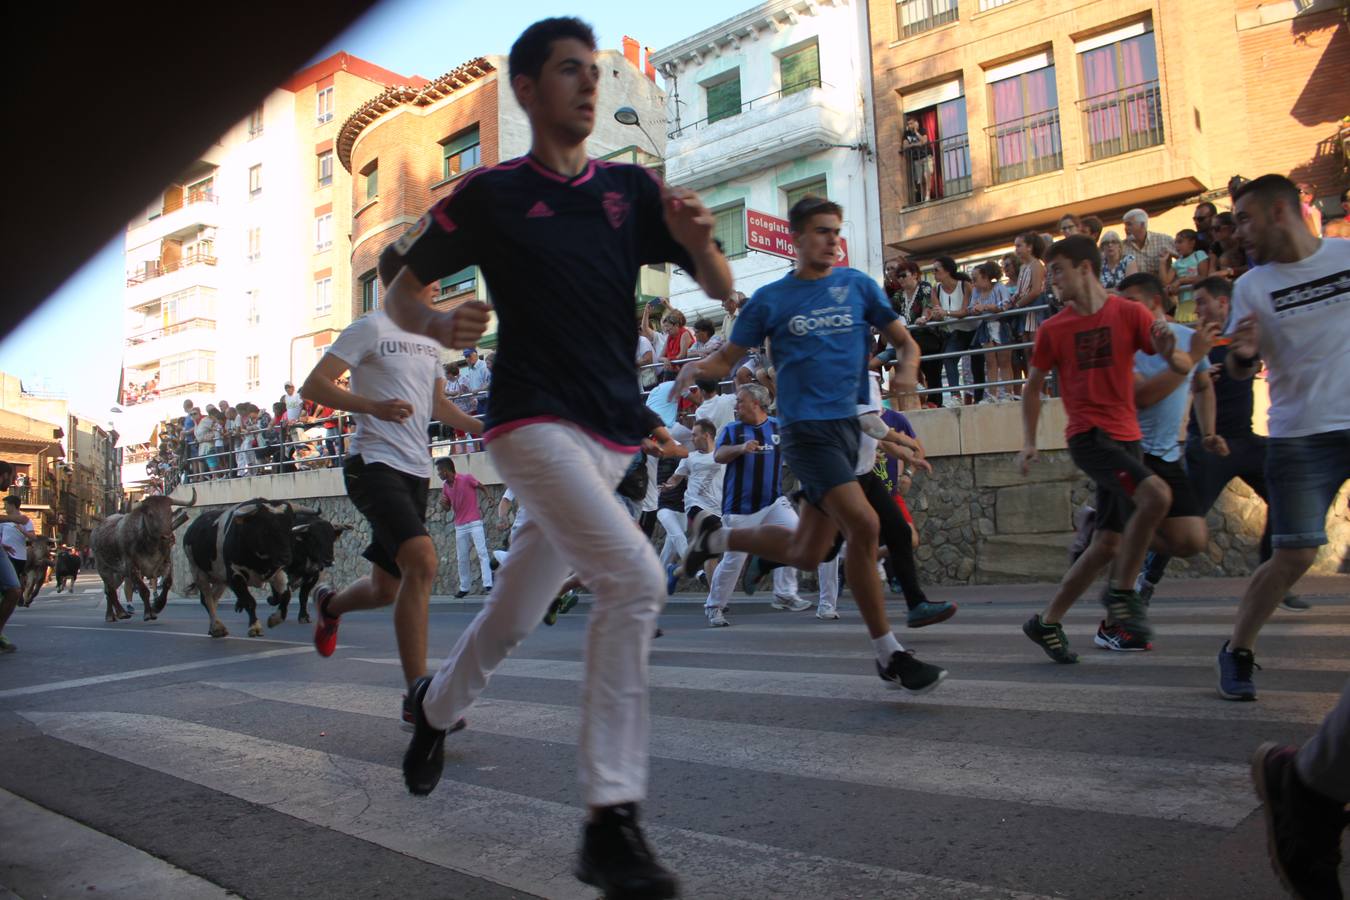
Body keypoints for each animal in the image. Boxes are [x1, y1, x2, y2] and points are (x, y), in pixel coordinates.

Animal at [91, 488, 197, 623]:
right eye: (150, 514)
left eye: (170, 512)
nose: (168, 538)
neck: (150, 546)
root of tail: (96, 530)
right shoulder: (132, 568)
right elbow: (144, 590)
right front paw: (148, 613)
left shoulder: (166, 563)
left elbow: (167, 583)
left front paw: (157, 606)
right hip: (104, 569)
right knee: (110, 590)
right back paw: (120, 613)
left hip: (118, 574)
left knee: (109, 590)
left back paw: (113, 615)